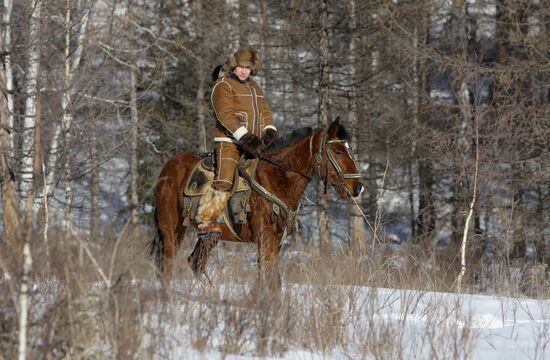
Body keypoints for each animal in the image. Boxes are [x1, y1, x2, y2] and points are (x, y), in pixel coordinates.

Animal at [150, 119, 366, 292]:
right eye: (338, 151)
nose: (358, 187)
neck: (276, 178)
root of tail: (167, 168)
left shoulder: (276, 241)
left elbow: (273, 280)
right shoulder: (265, 239)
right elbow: (268, 279)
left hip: (209, 236)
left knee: (195, 262)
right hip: (171, 230)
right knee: (167, 266)